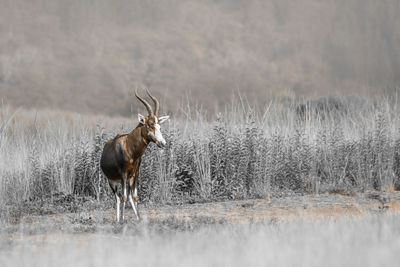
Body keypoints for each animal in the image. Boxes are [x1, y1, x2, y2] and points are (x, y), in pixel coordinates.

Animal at [101, 90, 170, 222]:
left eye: (159, 126)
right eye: (149, 125)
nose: (162, 143)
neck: (129, 146)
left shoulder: (136, 173)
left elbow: (135, 196)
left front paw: (139, 219)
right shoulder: (123, 174)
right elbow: (123, 197)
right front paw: (122, 220)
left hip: (128, 179)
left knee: (128, 196)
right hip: (112, 181)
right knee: (118, 197)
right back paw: (118, 219)